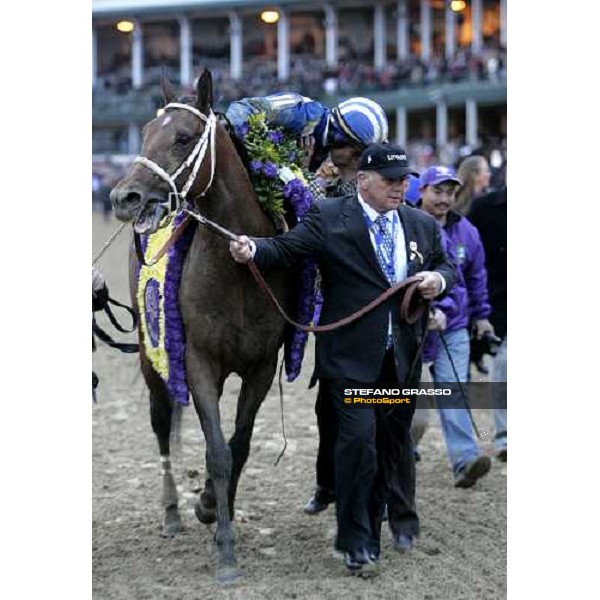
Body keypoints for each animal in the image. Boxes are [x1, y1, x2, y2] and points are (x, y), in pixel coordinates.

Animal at [110, 70, 296, 580]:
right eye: (144, 133)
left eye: (183, 137)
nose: (123, 196)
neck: (237, 269)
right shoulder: (198, 363)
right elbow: (216, 451)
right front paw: (225, 548)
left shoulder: (261, 366)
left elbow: (240, 445)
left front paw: (214, 510)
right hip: (151, 355)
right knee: (160, 425)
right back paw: (172, 512)